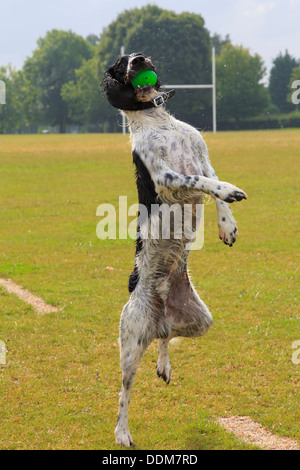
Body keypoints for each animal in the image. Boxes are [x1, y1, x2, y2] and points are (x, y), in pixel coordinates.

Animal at [103, 53, 246, 446]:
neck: (159, 122)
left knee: (166, 335)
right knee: (124, 392)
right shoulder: (168, 177)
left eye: (139, 54)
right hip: (132, 339)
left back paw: (163, 363)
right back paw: (122, 433)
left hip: (199, 321)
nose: (140, 59)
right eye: (122, 64)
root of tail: (159, 311)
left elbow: (211, 184)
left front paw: (227, 225)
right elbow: (205, 183)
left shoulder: (202, 156)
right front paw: (230, 190)